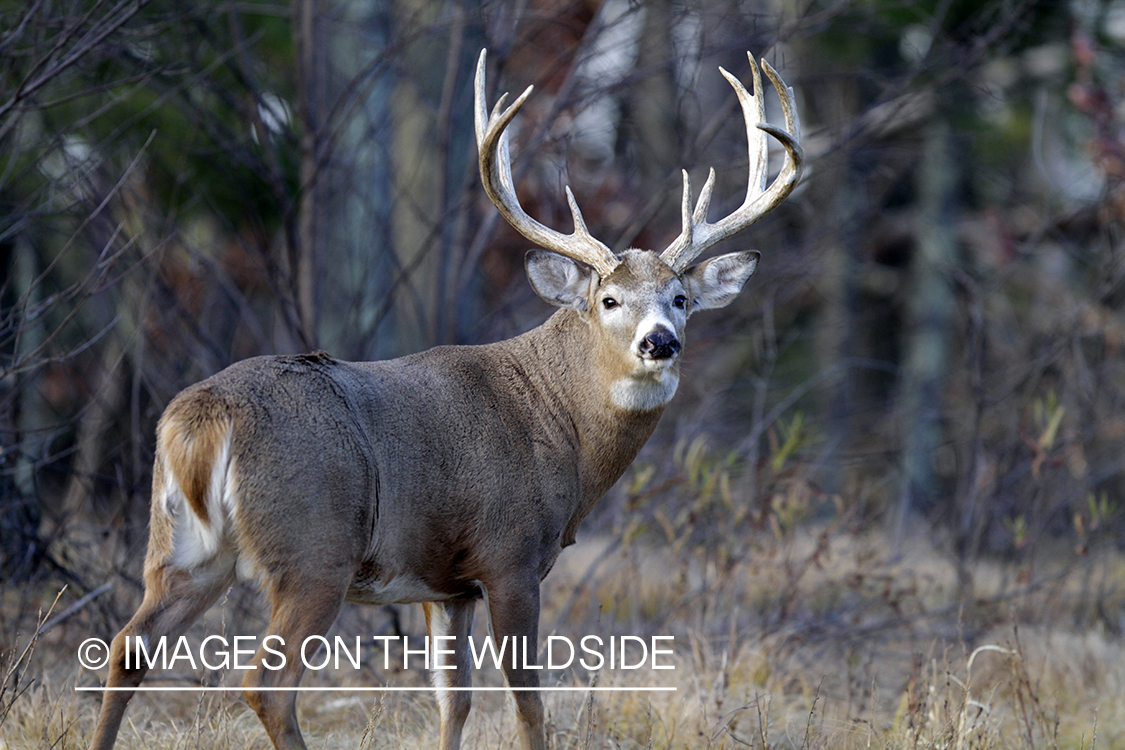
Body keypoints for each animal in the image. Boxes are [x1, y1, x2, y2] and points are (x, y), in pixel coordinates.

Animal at [90, 48, 801, 750]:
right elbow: (528, 705)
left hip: (182, 549)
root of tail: (204, 416)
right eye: (609, 299)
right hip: (312, 550)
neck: (561, 424)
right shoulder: (511, 555)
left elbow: (452, 702)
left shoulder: (446, 585)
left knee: (128, 647)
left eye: (681, 298)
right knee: (266, 685)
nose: (660, 341)